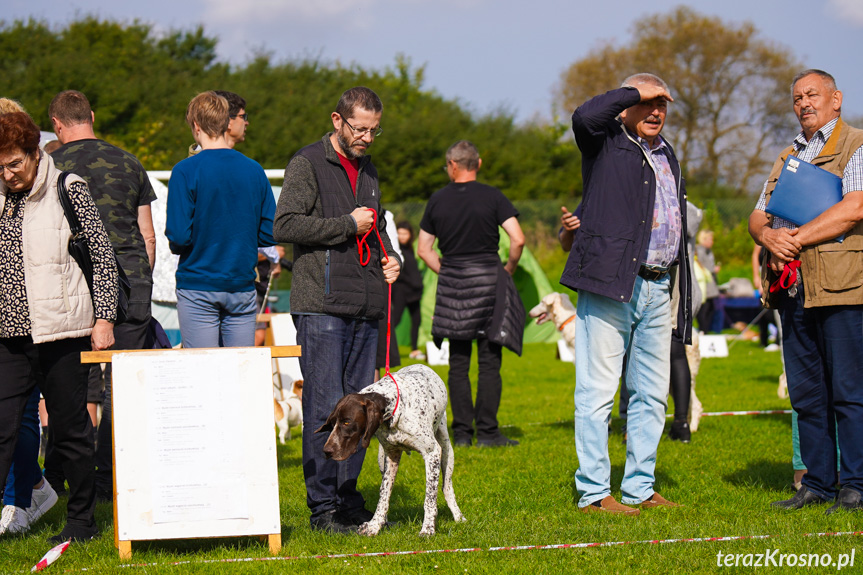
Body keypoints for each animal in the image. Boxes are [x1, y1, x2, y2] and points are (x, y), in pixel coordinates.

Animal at [318, 366, 466, 536]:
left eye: (347, 422)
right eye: (332, 423)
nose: (326, 451)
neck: (395, 409)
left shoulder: (432, 454)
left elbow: (429, 498)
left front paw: (428, 529)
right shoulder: (391, 456)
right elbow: (383, 495)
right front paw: (374, 525)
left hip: (447, 451)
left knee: (446, 488)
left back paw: (458, 516)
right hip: (381, 458)